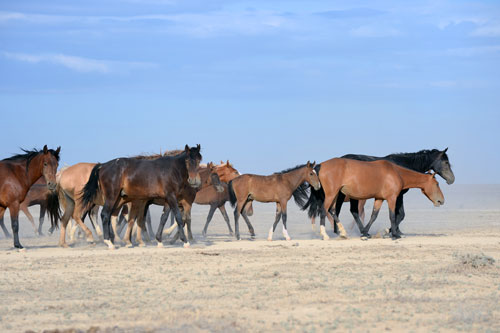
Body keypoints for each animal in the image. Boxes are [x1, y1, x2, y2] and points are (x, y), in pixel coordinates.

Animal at [302, 147, 456, 236]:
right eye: (446, 162)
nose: (452, 179)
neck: (401, 166)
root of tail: (321, 165)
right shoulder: (397, 196)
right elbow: (400, 214)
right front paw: (390, 231)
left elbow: (394, 214)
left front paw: (395, 231)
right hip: (341, 195)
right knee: (339, 211)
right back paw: (341, 232)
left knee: (340, 211)